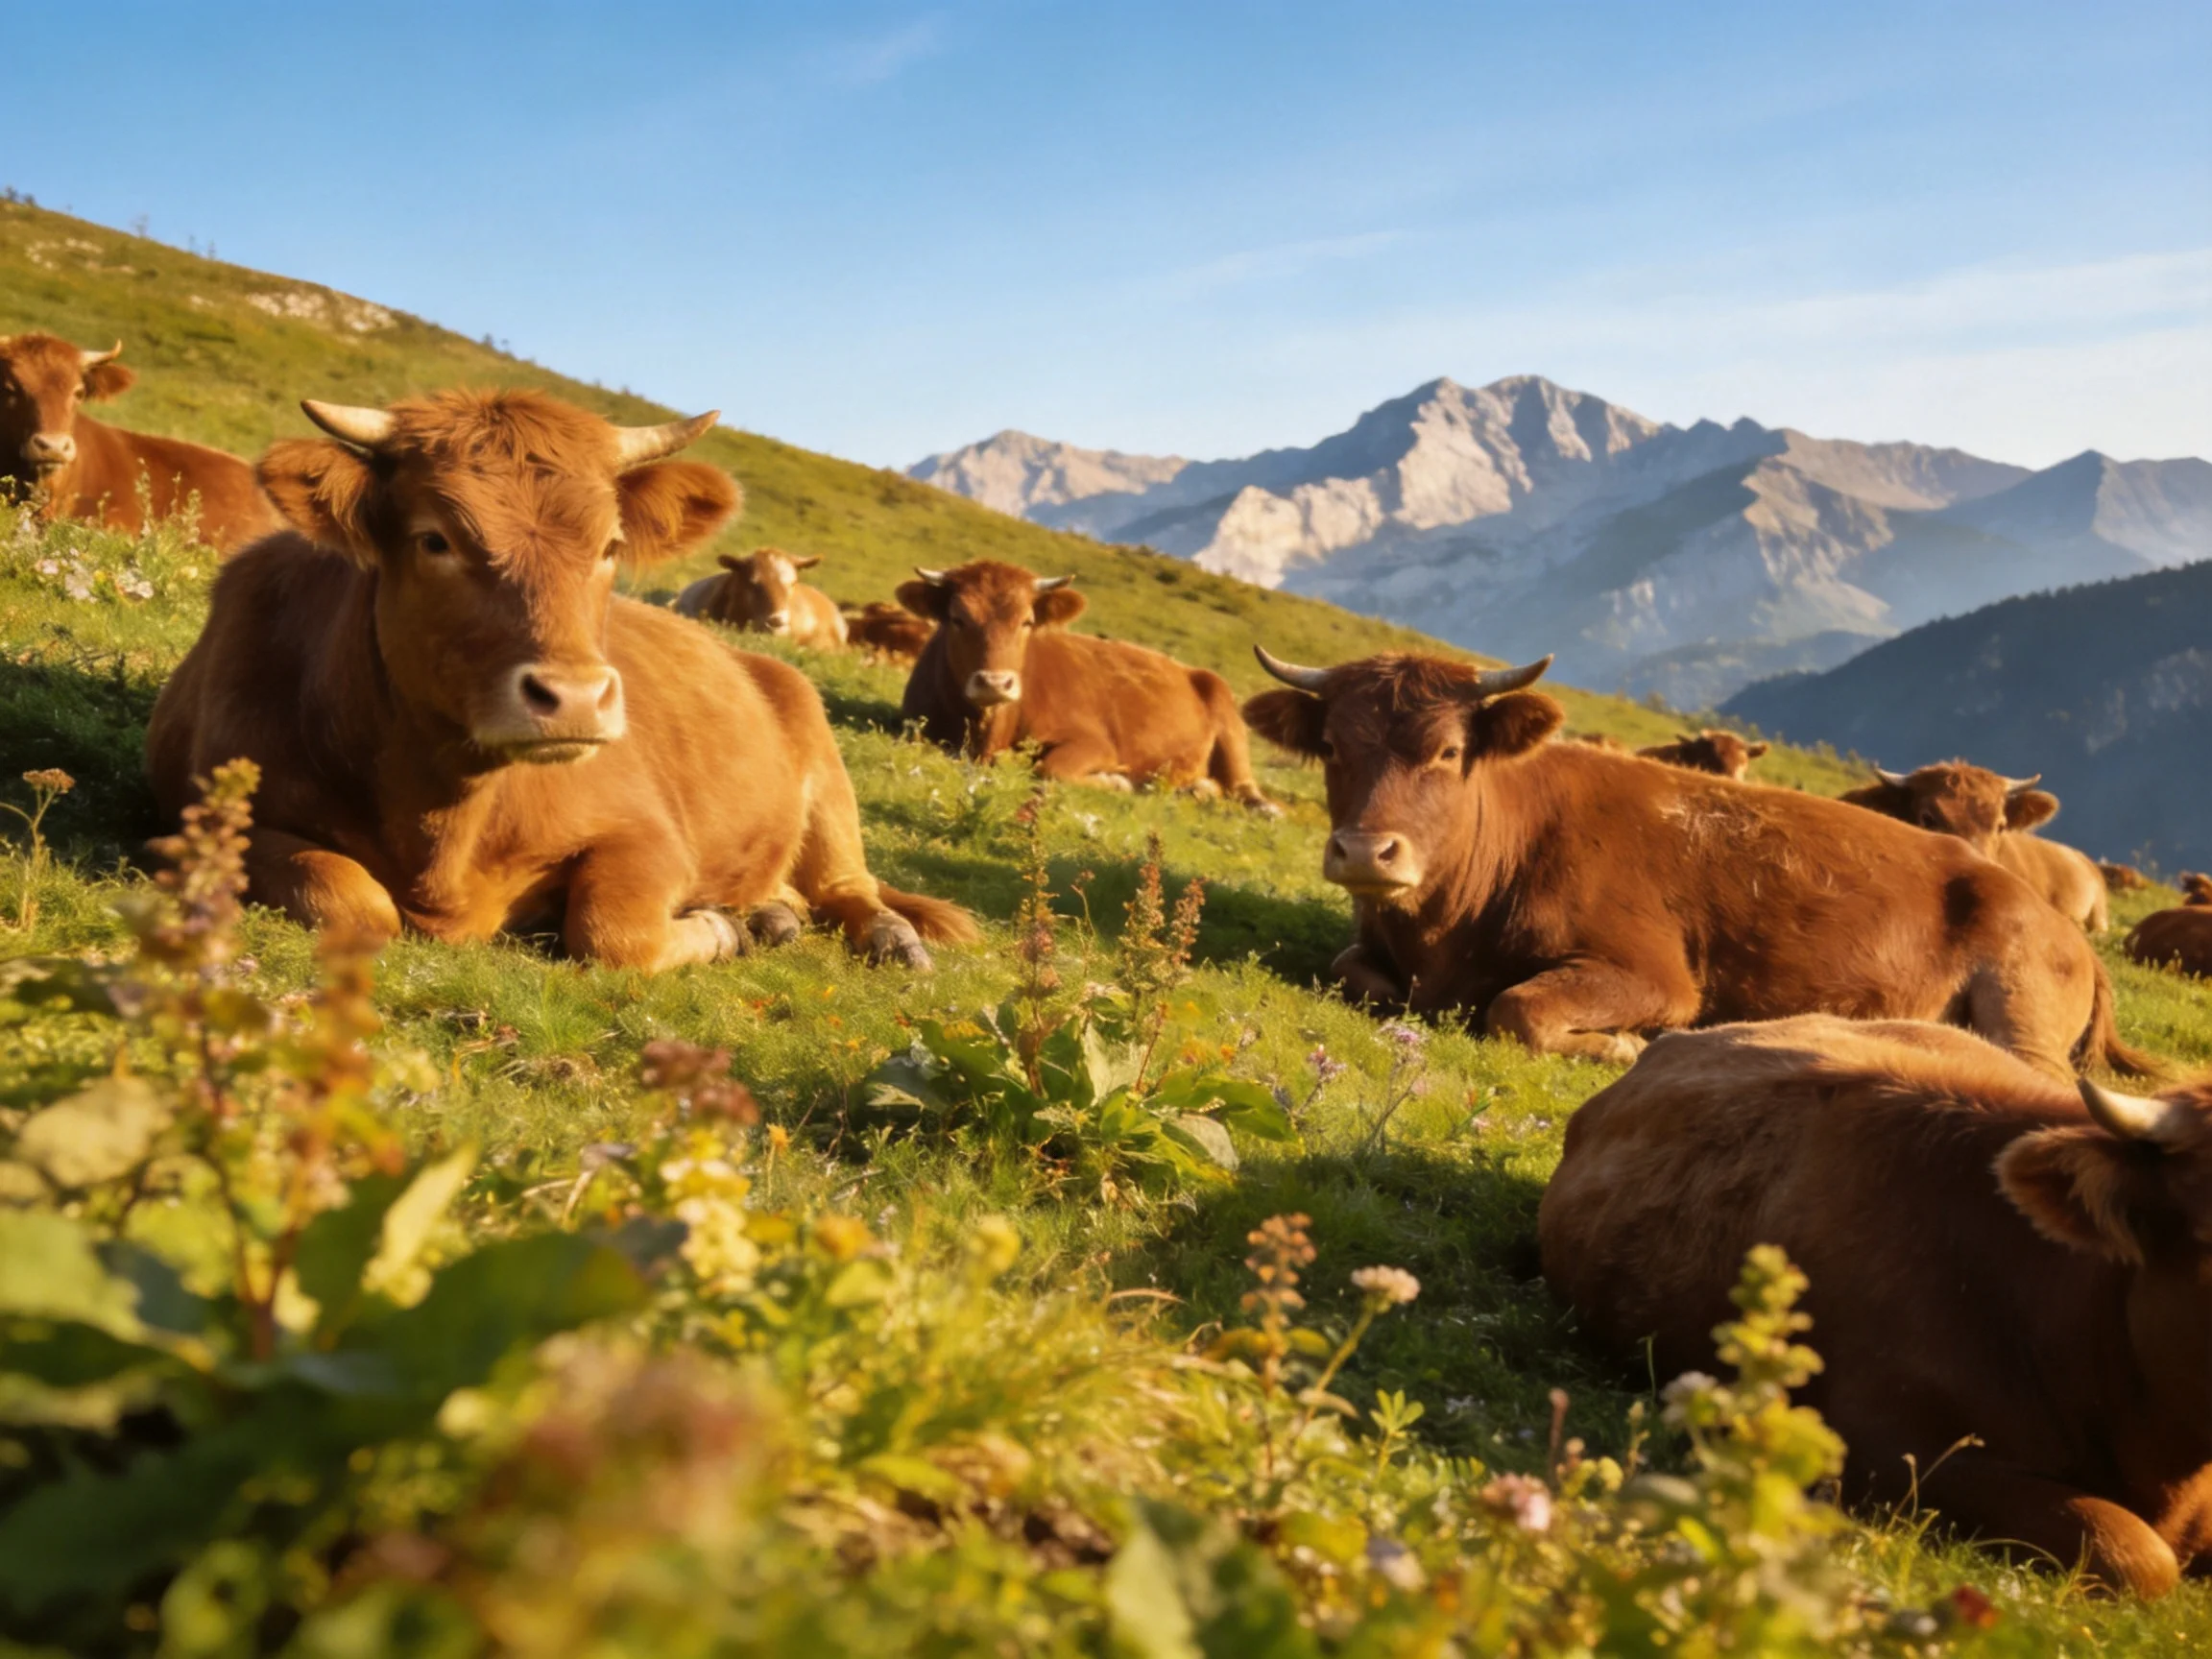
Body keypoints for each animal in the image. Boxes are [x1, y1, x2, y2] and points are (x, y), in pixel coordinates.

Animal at [896, 560, 1277, 812]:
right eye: (957, 619)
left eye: (1027, 621)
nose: (995, 682)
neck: (986, 733)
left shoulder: (1095, 743)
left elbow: (1050, 768)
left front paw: (1115, 781)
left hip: (1229, 726)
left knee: (1245, 791)